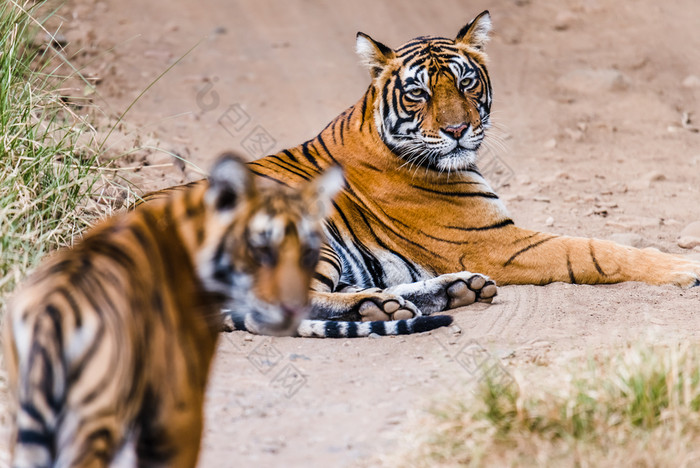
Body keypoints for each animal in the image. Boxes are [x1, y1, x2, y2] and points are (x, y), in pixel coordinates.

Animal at [142, 10, 700, 326]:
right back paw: (377, 308)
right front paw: (684, 268)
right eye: (419, 93)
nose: (456, 130)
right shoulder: (498, 242)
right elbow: (595, 250)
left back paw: (451, 291)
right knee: (270, 305)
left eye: (467, 83)